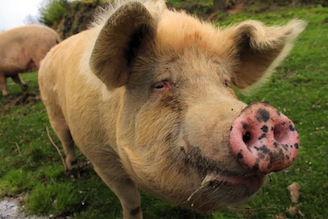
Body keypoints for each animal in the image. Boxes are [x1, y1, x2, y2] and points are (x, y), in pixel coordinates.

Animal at [39, 0, 306, 218]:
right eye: (160, 84)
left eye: (225, 82)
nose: (261, 112)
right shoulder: (101, 158)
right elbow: (131, 201)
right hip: (52, 108)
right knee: (65, 139)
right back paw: (73, 171)